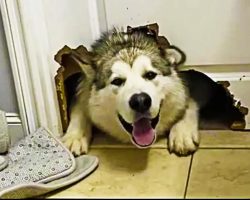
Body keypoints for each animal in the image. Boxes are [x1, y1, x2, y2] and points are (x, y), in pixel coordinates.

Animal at [61, 28, 245, 156]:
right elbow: (79, 108)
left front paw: (181, 132)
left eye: (150, 75)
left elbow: (188, 103)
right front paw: (74, 136)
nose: (140, 101)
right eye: (117, 81)